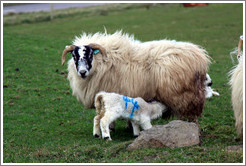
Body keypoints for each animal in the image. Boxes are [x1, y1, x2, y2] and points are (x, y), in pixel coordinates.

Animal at [61, 30, 209, 124]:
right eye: (74, 56)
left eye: (90, 54)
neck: (102, 63)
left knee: (188, 109)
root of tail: (199, 56)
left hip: (183, 94)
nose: (82, 72)